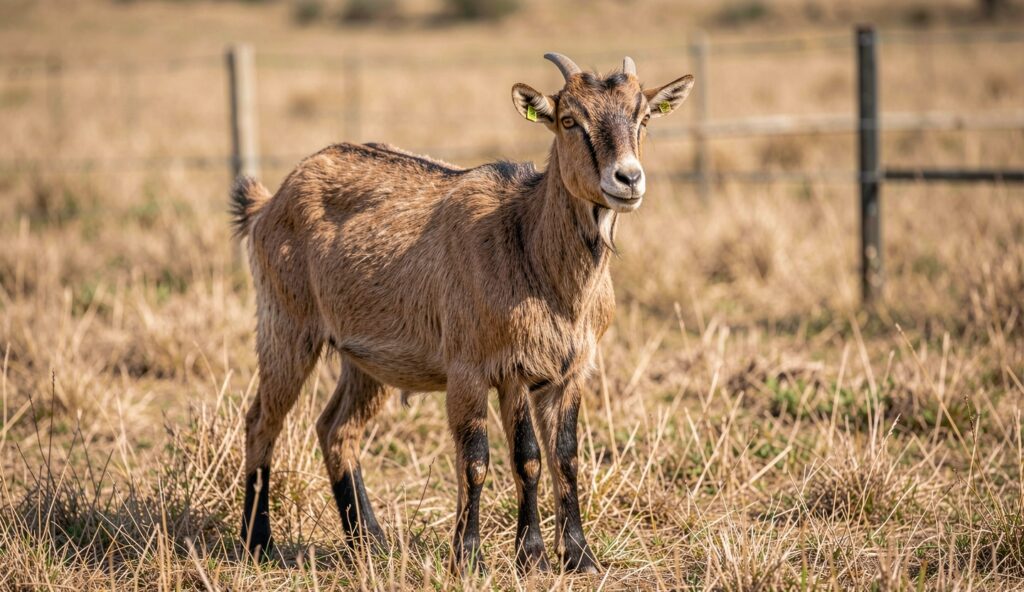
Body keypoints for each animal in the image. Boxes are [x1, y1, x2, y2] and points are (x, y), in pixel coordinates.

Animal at [231, 52, 693, 575]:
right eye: (570, 120)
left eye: (644, 117)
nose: (627, 179)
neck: (528, 246)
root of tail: (267, 203)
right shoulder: (473, 368)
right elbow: (479, 460)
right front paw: (471, 556)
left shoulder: (557, 372)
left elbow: (551, 457)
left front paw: (567, 555)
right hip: (286, 325)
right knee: (261, 422)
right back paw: (258, 542)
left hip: (366, 359)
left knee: (336, 429)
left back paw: (370, 542)